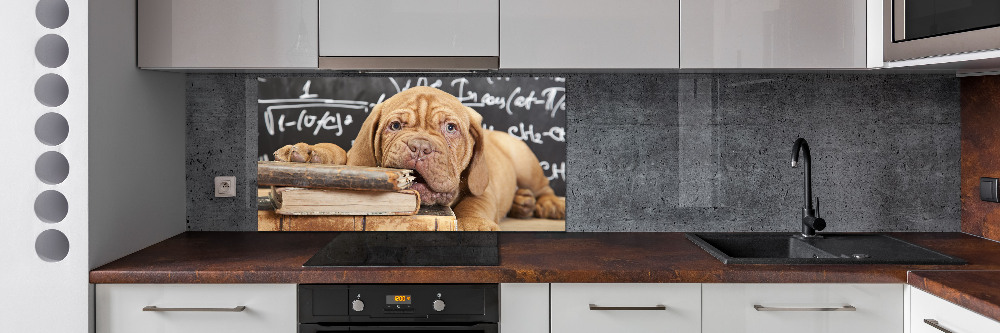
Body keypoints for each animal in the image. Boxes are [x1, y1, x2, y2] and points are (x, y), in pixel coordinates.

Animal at [274, 85, 568, 230]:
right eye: (395, 126)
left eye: (451, 128)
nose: (419, 147)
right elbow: (342, 155)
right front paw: (309, 154)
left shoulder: (483, 188)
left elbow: (474, 204)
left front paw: (475, 226)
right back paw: (522, 203)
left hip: (525, 160)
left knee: (543, 187)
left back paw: (549, 205)